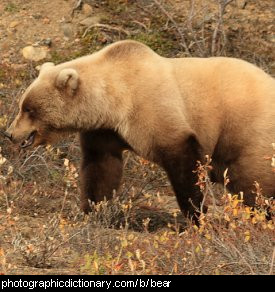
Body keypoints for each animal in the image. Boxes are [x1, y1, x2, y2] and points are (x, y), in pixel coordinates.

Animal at [4, 40, 275, 219]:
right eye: (23, 106)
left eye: (30, 109)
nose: (9, 134)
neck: (114, 100)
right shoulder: (105, 131)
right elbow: (101, 167)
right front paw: (92, 209)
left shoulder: (152, 108)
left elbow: (183, 158)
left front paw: (196, 213)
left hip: (244, 128)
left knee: (251, 179)